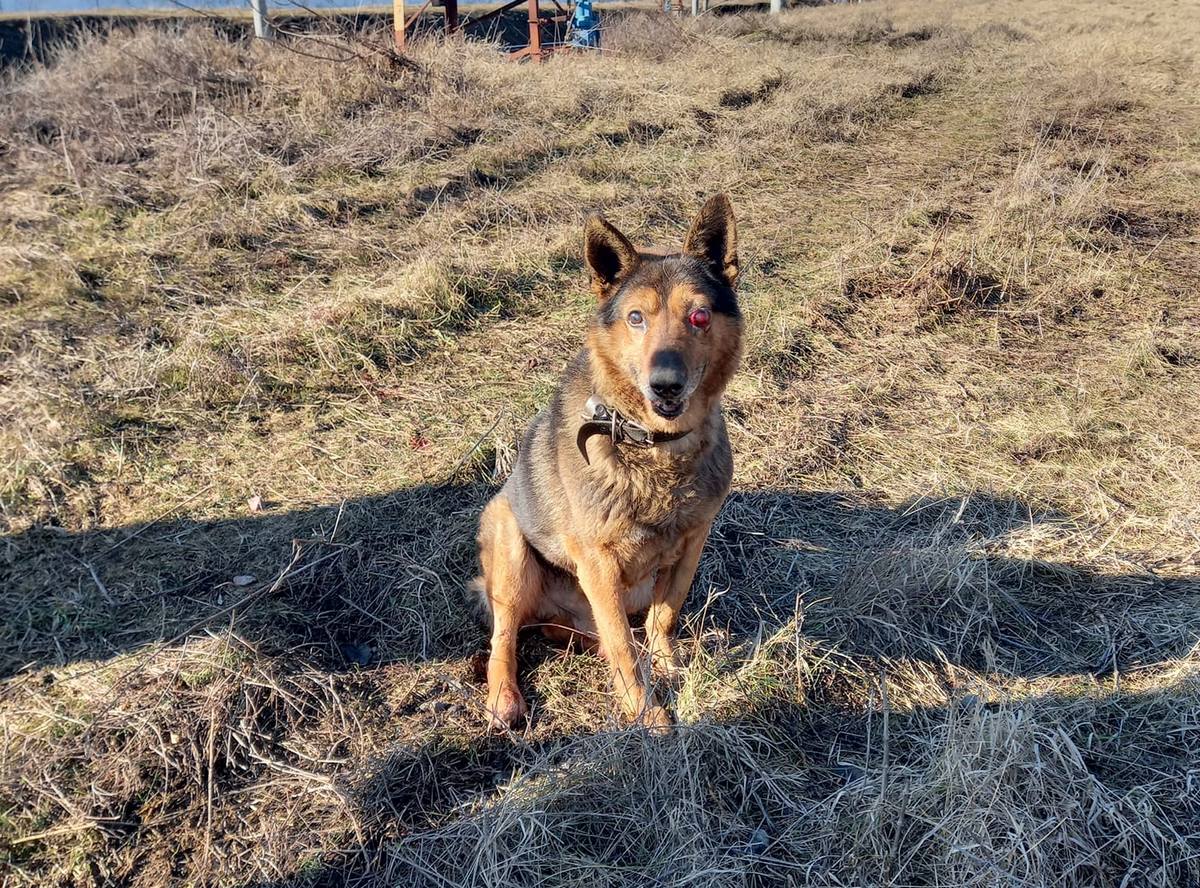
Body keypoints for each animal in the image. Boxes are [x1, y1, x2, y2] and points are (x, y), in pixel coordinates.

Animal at [475, 194, 739, 729]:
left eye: (700, 317)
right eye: (636, 318)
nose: (665, 385)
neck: (655, 448)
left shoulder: (692, 544)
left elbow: (664, 616)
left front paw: (668, 665)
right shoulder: (598, 562)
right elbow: (622, 646)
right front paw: (647, 715)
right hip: (511, 547)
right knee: (504, 636)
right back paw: (504, 695)